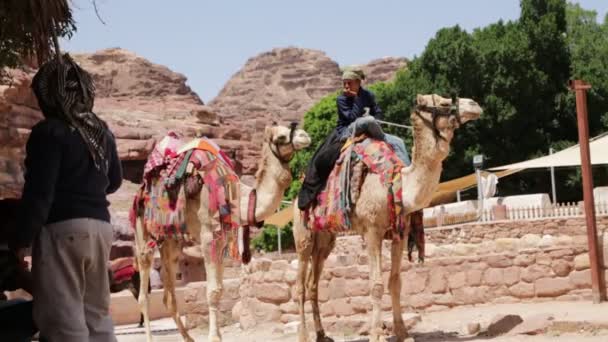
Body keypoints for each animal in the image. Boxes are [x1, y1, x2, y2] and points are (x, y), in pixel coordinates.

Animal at [135, 123, 312, 342]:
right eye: (280, 137)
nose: (305, 136)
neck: (235, 196)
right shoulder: (208, 237)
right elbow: (212, 292)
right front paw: (214, 337)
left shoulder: (222, 241)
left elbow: (219, 290)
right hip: (143, 231)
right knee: (143, 292)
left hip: (171, 241)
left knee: (169, 295)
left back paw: (188, 338)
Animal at [292, 94, 482, 342]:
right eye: (442, 102)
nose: (475, 105)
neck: (397, 182)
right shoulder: (372, 231)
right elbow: (376, 285)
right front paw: (376, 334)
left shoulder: (399, 233)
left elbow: (395, 282)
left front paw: (402, 333)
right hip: (303, 234)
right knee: (300, 286)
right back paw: (304, 335)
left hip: (325, 238)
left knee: (313, 284)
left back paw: (323, 335)